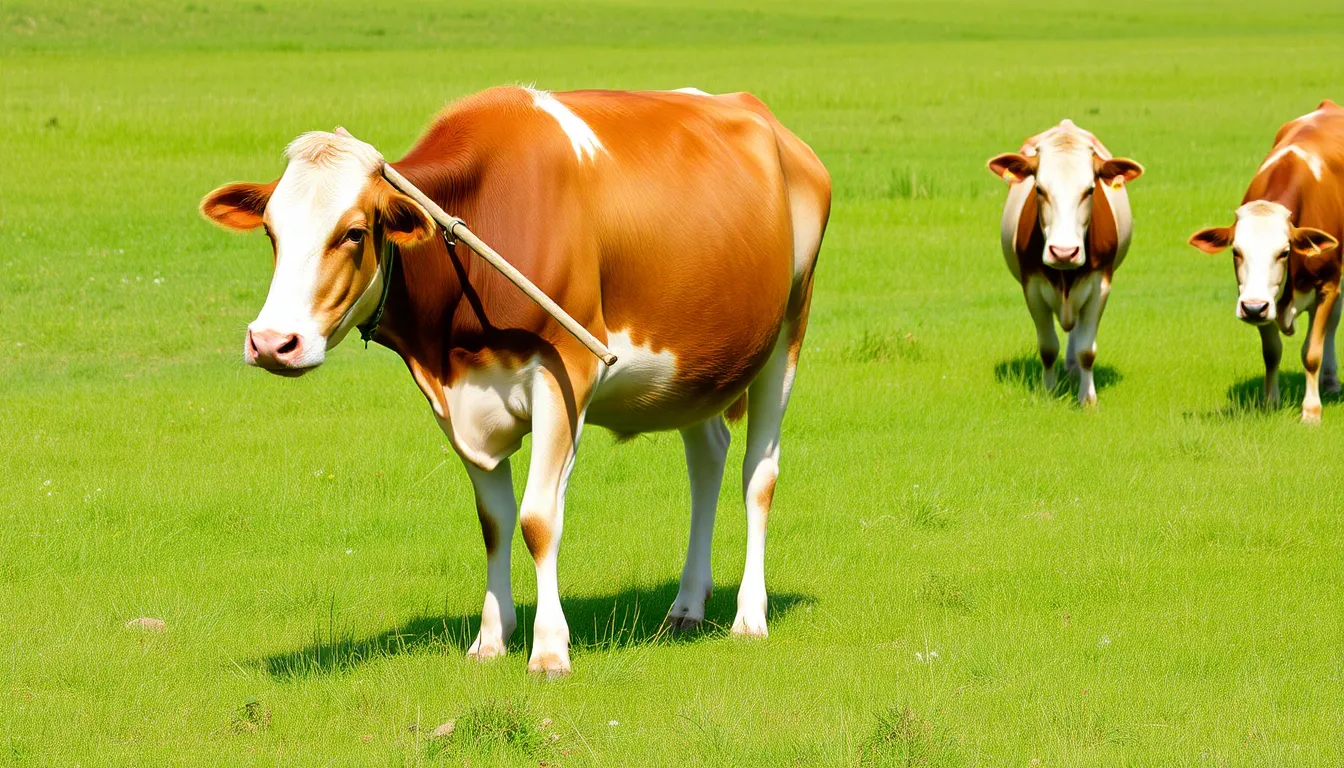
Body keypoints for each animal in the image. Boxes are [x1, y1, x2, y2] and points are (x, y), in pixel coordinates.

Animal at [199, 86, 831, 675]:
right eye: (271, 231)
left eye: (354, 232)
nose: (272, 342)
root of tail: (761, 115)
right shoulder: (458, 401)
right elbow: (495, 522)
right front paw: (490, 639)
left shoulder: (565, 374)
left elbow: (537, 519)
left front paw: (549, 650)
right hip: (693, 369)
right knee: (706, 459)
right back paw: (687, 606)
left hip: (787, 333)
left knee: (758, 474)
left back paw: (749, 616)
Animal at [987, 120, 1144, 405]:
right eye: (1039, 189)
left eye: (1090, 190)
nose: (1063, 252)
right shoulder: (1031, 286)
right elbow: (1048, 347)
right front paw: (1049, 393)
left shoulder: (1100, 285)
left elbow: (1086, 350)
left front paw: (1087, 399)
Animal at [1188, 100, 1344, 423]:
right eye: (1236, 251)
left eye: (1284, 252)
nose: (1252, 308)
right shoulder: (1258, 298)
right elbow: (1272, 352)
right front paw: (1270, 402)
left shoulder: (1328, 283)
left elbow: (1312, 352)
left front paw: (1311, 411)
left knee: (1332, 322)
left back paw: (1330, 380)